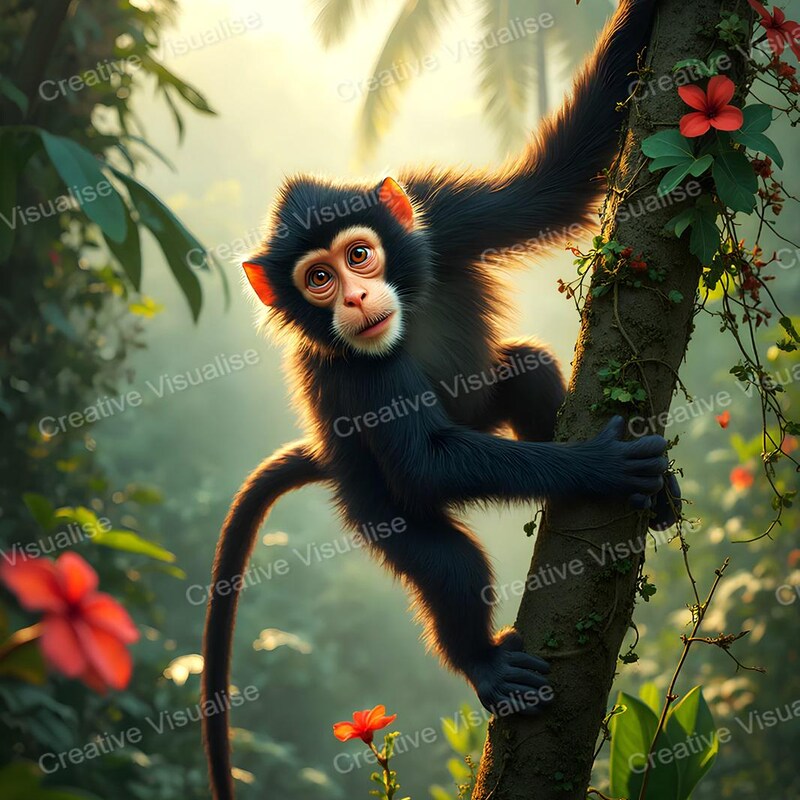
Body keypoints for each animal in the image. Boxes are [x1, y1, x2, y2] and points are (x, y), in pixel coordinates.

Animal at [202, 1, 680, 797]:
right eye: (318, 280)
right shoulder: (352, 372)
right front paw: (603, 467)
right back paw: (484, 663)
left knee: (527, 369)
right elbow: (425, 463)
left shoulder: (441, 212)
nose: (355, 298)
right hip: (368, 504)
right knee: (445, 556)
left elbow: (554, 185)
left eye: (359, 255)